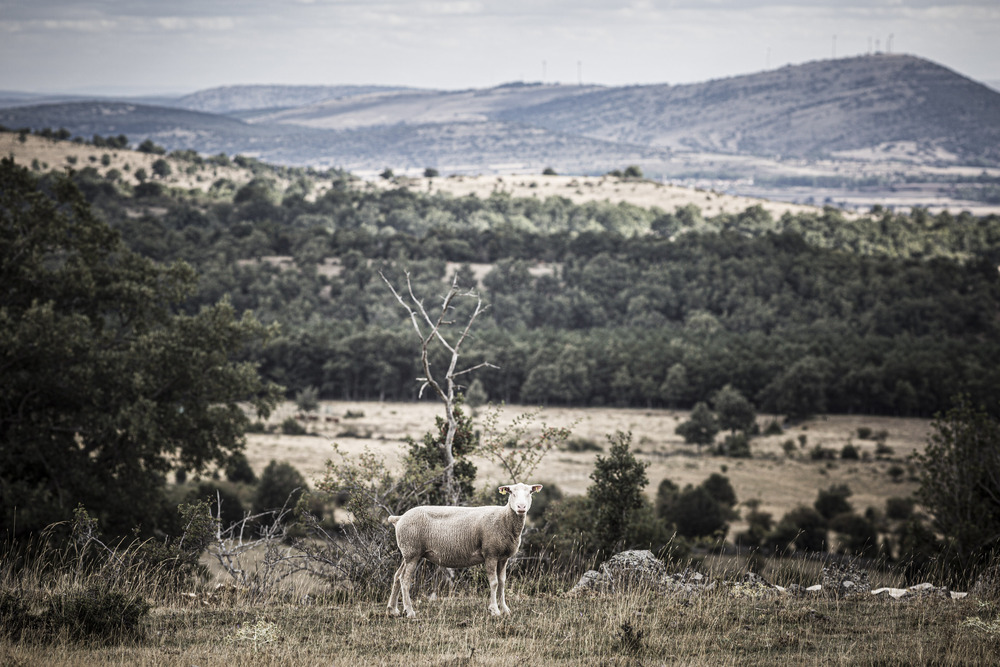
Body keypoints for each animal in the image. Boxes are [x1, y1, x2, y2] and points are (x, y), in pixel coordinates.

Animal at [386, 482, 544, 620]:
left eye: (530, 492)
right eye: (511, 492)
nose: (521, 507)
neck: (504, 518)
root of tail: (399, 518)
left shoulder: (503, 557)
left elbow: (502, 582)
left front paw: (505, 609)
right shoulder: (490, 554)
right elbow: (494, 583)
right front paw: (494, 610)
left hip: (409, 553)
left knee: (397, 576)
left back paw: (392, 610)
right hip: (412, 551)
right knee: (405, 579)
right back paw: (410, 611)